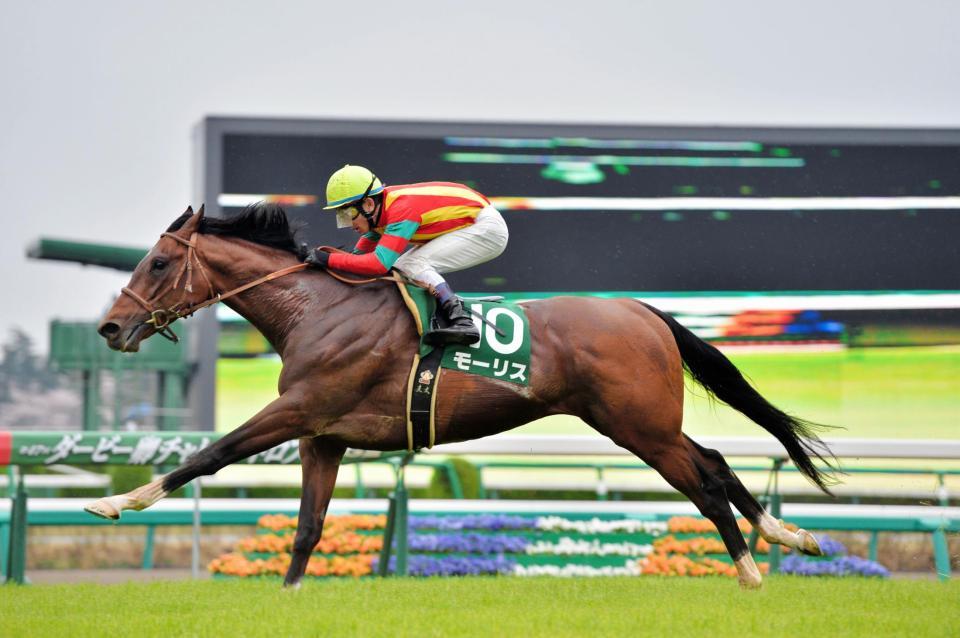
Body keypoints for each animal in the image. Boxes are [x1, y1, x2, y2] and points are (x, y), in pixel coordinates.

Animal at [86, 203, 836, 588]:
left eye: (158, 262)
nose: (110, 328)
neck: (317, 309)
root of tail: (641, 311)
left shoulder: (298, 410)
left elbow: (207, 456)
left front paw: (118, 500)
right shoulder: (321, 435)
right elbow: (306, 527)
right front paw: (290, 598)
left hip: (638, 427)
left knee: (703, 480)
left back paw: (750, 569)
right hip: (641, 423)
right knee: (715, 460)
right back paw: (787, 536)